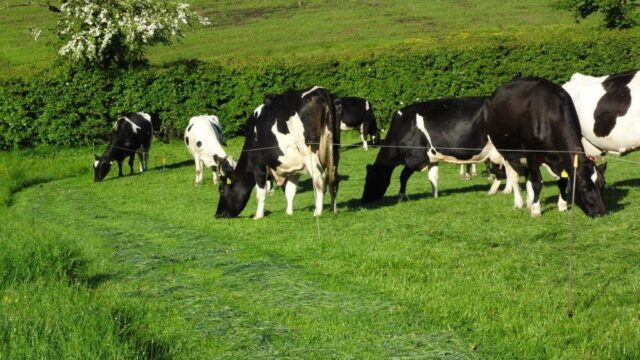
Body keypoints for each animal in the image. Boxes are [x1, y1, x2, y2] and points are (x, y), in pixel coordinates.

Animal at [215, 86, 342, 219]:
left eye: (221, 189)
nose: (217, 214)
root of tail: (319, 90)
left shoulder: (259, 168)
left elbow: (260, 193)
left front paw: (258, 216)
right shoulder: (294, 170)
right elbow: (290, 191)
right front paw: (289, 213)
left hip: (308, 152)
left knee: (320, 179)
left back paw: (317, 212)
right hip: (334, 151)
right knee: (333, 180)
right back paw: (334, 210)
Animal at [360, 97, 504, 204]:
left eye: (369, 179)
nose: (364, 199)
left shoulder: (416, 158)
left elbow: (403, 177)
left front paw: (401, 196)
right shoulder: (432, 158)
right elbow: (432, 177)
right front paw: (434, 195)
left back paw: (498, 191)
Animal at [488, 76, 608, 217]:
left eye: (603, 184)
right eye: (583, 187)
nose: (601, 212)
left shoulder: (560, 161)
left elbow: (562, 182)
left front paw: (562, 206)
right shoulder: (532, 155)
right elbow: (537, 183)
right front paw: (536, 210)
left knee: (527, 176)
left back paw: (529, 202)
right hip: (507, 152)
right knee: (514, 176)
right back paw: (519, 203)